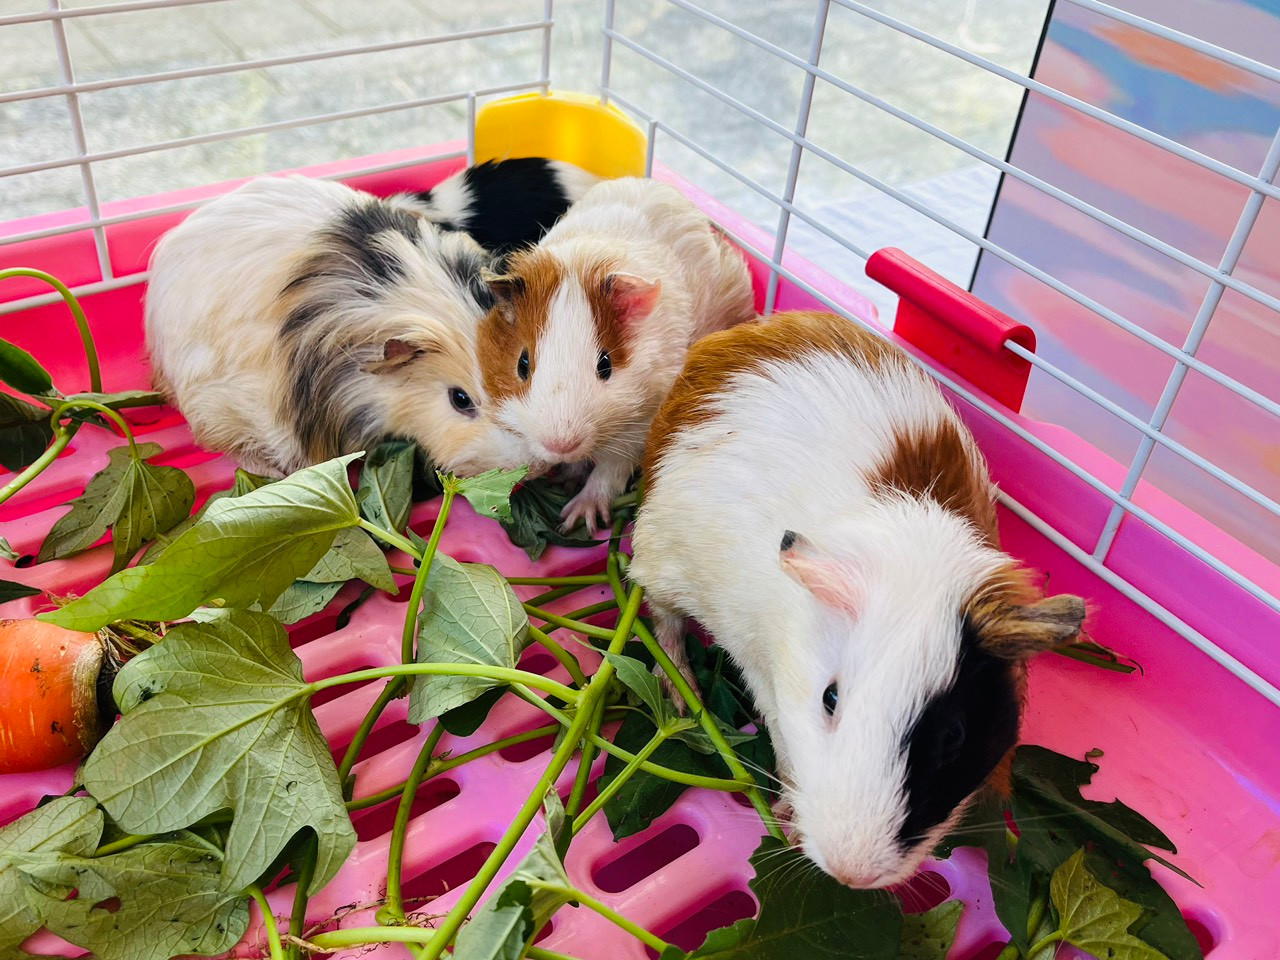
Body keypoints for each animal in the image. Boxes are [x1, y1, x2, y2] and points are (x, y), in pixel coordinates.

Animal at [475, 177, 756, 533]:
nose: (560, 444)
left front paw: (578, 518)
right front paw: (562, 480)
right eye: (522, 364)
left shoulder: (639, 425)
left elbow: (610, 470)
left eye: (605, 364)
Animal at [628, 310, 1087, 889]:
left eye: (954, 735)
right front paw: (786, 820)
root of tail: (729, 341)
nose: (851, 875)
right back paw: (682, 691)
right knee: (665, 628)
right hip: (659, 566)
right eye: (830, 697)